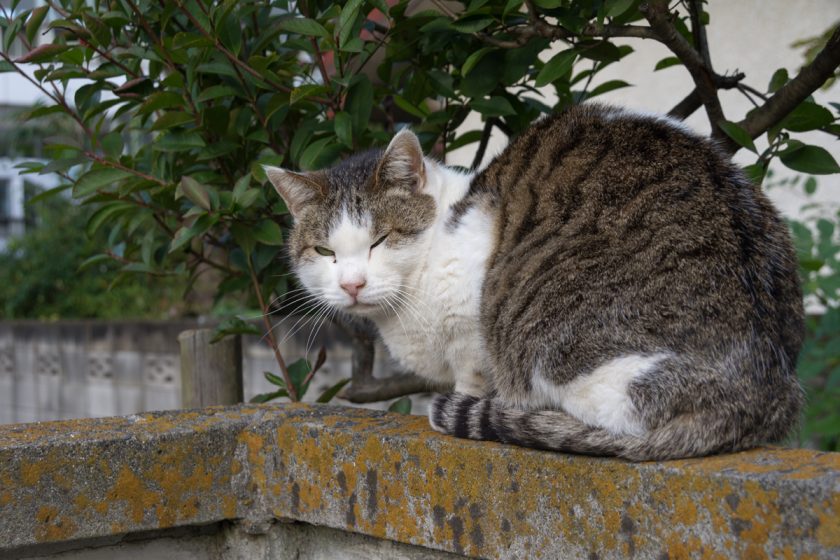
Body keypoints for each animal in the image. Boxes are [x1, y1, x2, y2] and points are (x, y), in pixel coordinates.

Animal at [266, 104, 804, 460]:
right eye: (326, 252)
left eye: (381, 240)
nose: (352, 285)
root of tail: (763, 391)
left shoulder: (471, 323)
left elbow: (472, 373)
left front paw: (472, 402)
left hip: (557, 344)